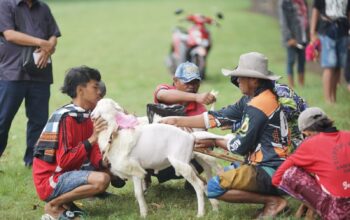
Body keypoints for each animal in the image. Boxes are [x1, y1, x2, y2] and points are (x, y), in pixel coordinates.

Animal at [91, 99, 226, 217]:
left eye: (100, 105)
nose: (92, 115)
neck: (114, 134)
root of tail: (190, 136)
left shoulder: (134, 170)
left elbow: (138, 193)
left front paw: (143, 214)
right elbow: (141, 192)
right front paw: (144, 211)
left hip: (183, 163)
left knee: (200, 184)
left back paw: (201, 213)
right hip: (187, 162)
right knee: (204, 181)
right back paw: (215, 208)